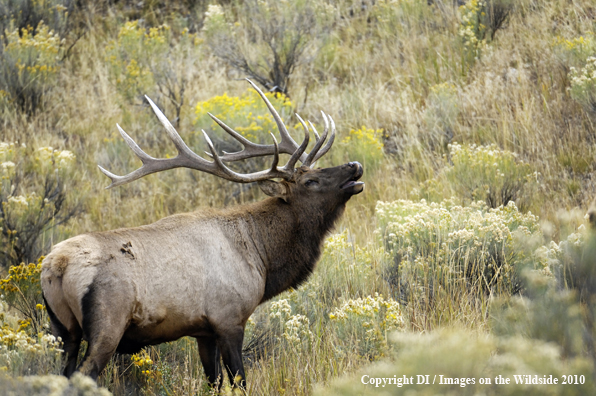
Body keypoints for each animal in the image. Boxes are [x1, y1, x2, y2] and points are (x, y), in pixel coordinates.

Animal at [40, 79, 364, 388]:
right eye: (311, 181)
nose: (355, 165)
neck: (262, 257)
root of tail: (57, 265)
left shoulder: (203, 331)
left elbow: (214, 381)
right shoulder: (229, 319)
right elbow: (239, 380)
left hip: (63, 331)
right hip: (106, 325)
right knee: (84, 374)